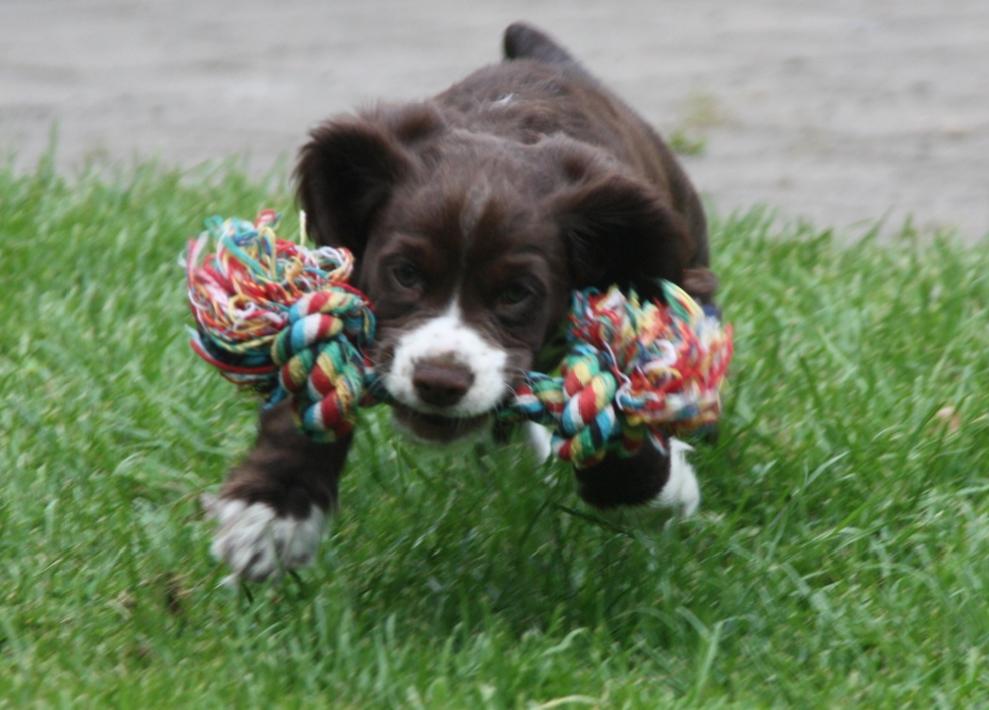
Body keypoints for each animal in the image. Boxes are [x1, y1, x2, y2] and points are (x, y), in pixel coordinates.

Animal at [208, 25, 716, 588]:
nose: (439, 382)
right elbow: (314, 372)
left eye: (516, 293)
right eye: (406, 273)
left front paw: (664, 485)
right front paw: (268, 515)